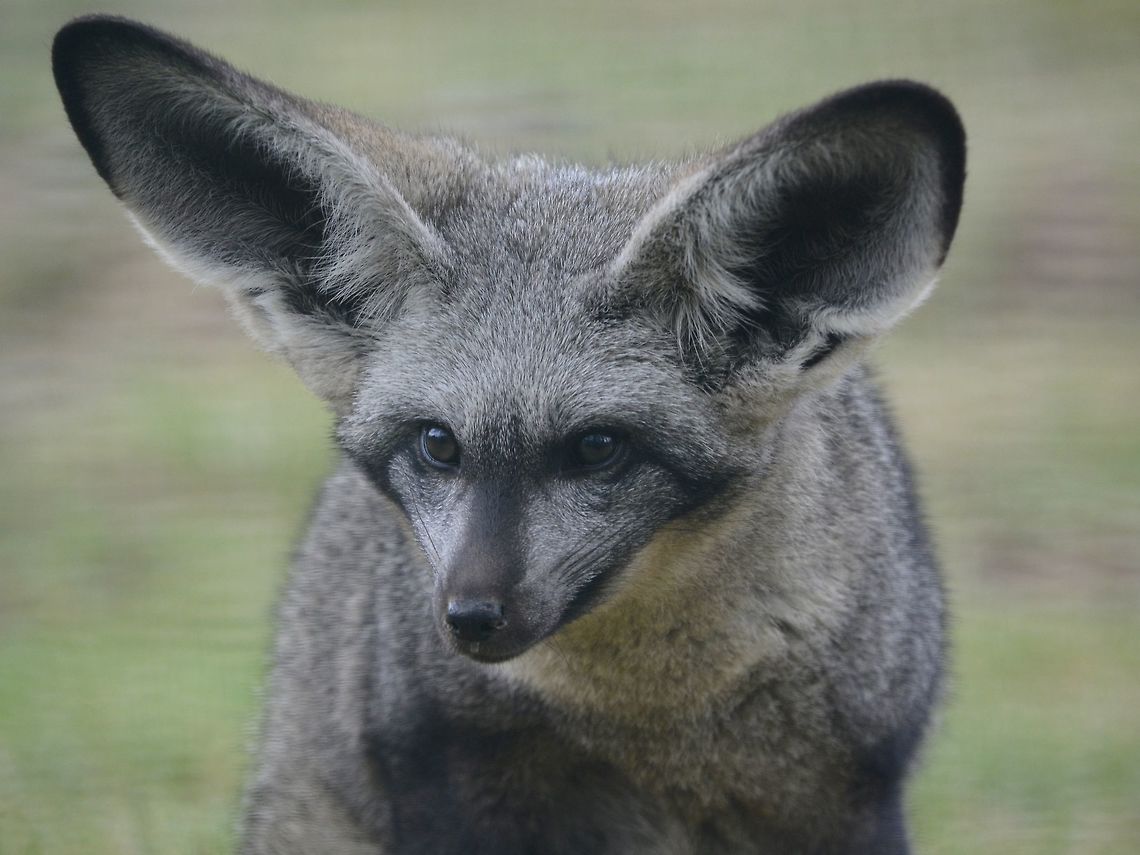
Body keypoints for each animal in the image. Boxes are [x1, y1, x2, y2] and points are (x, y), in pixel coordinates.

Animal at [53, 14, 965, 855]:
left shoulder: (846, 798)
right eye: (437, 443)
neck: (656, 718)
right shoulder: (449, 781)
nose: (470, 616)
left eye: (597, 447)